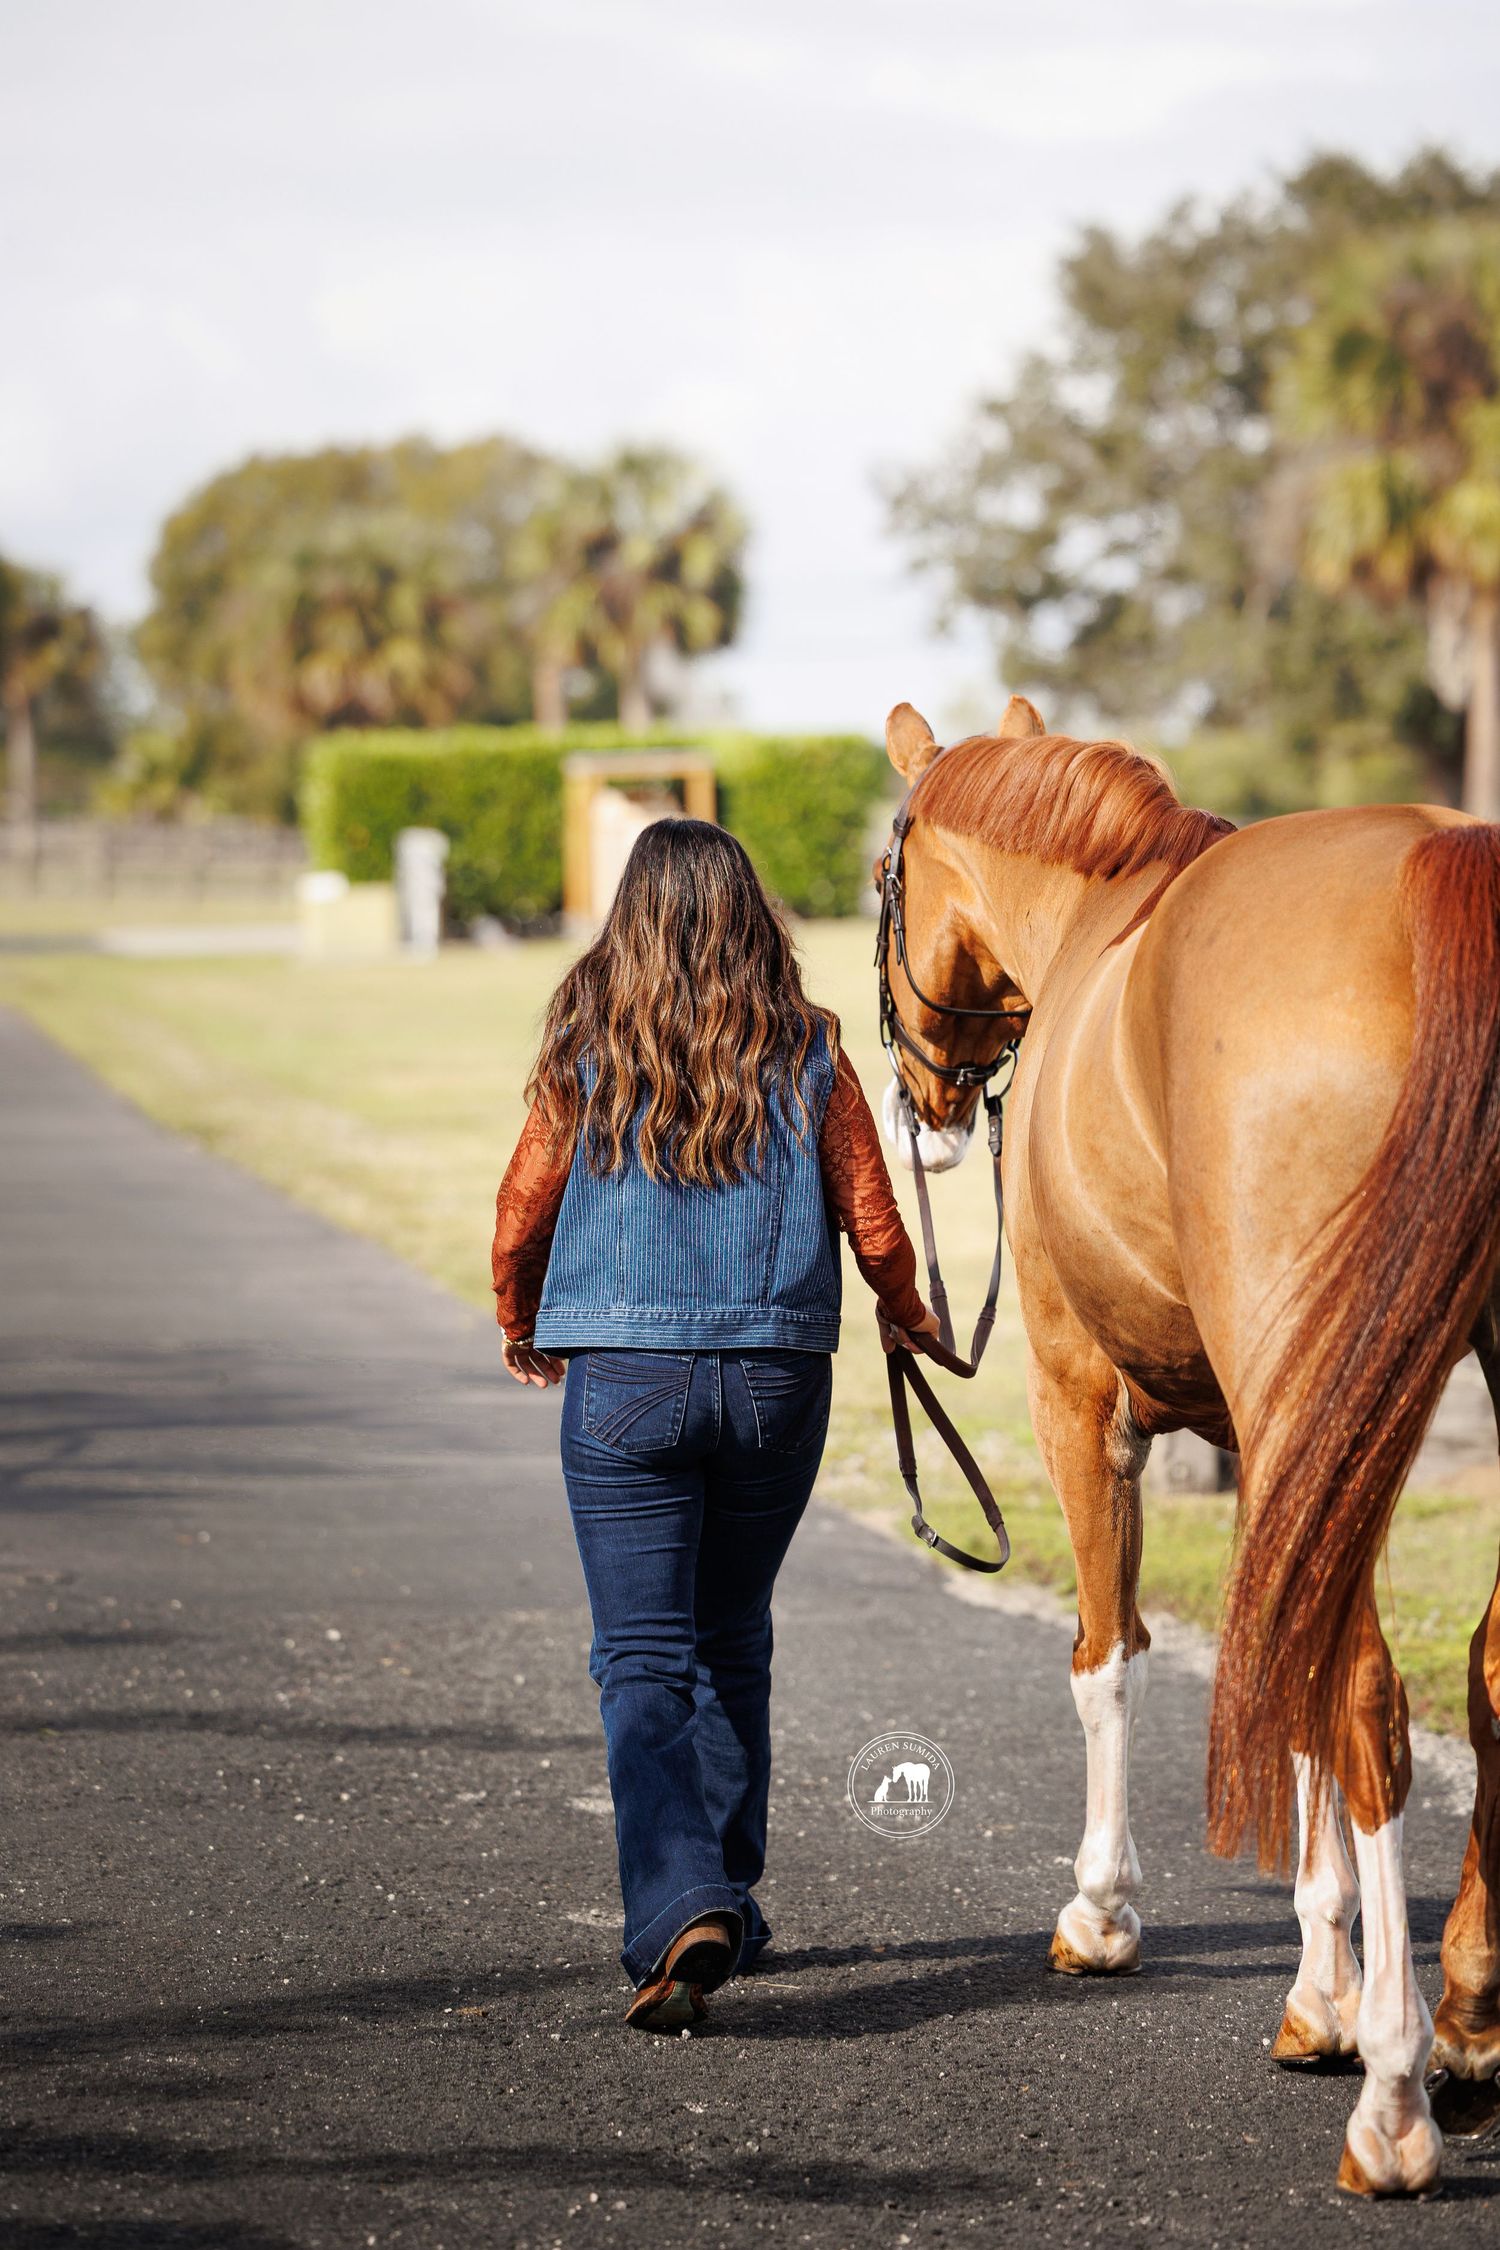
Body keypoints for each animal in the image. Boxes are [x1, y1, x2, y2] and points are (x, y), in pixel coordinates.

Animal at [876, 694, 1500, 2197]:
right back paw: (1462, 2014)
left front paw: (1104, 1910)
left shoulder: (1081, 1401)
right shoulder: (1280, 1430)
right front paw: (1319, 1990)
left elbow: (1116, 1657)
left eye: (885, 876)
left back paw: (1397, 2094)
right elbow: (1282, 1667)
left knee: (1373, 1695)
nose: (923, 1108)